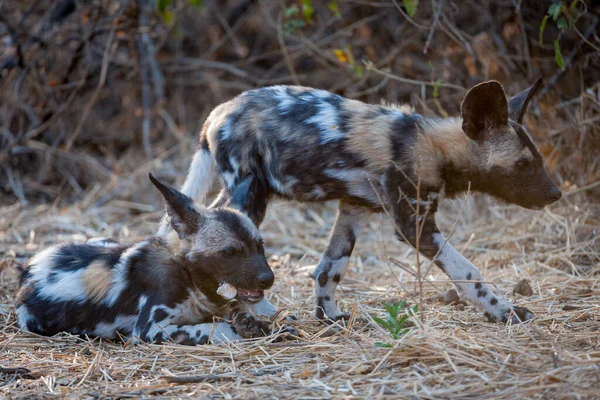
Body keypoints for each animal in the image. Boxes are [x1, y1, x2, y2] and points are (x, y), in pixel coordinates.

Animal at [14, 173, 276, 346]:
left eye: (260, 246)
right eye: (229, 252)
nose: (268, 279)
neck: (189, 279)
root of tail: (28, 267)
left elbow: (238, 309)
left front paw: (255, 323)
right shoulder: (149, 331)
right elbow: (216, 327)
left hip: (105, 240)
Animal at [159, 76, 564, 324]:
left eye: (538, 159)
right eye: (523, 164)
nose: (556, 194)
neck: (434, 148)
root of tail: (217, 113)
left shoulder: (355, 210)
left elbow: (329, 269)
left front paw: (329, 317)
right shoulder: (415, 225)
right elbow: (468, 271)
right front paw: (503, 311)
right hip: (250, 193)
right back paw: (262, 309)